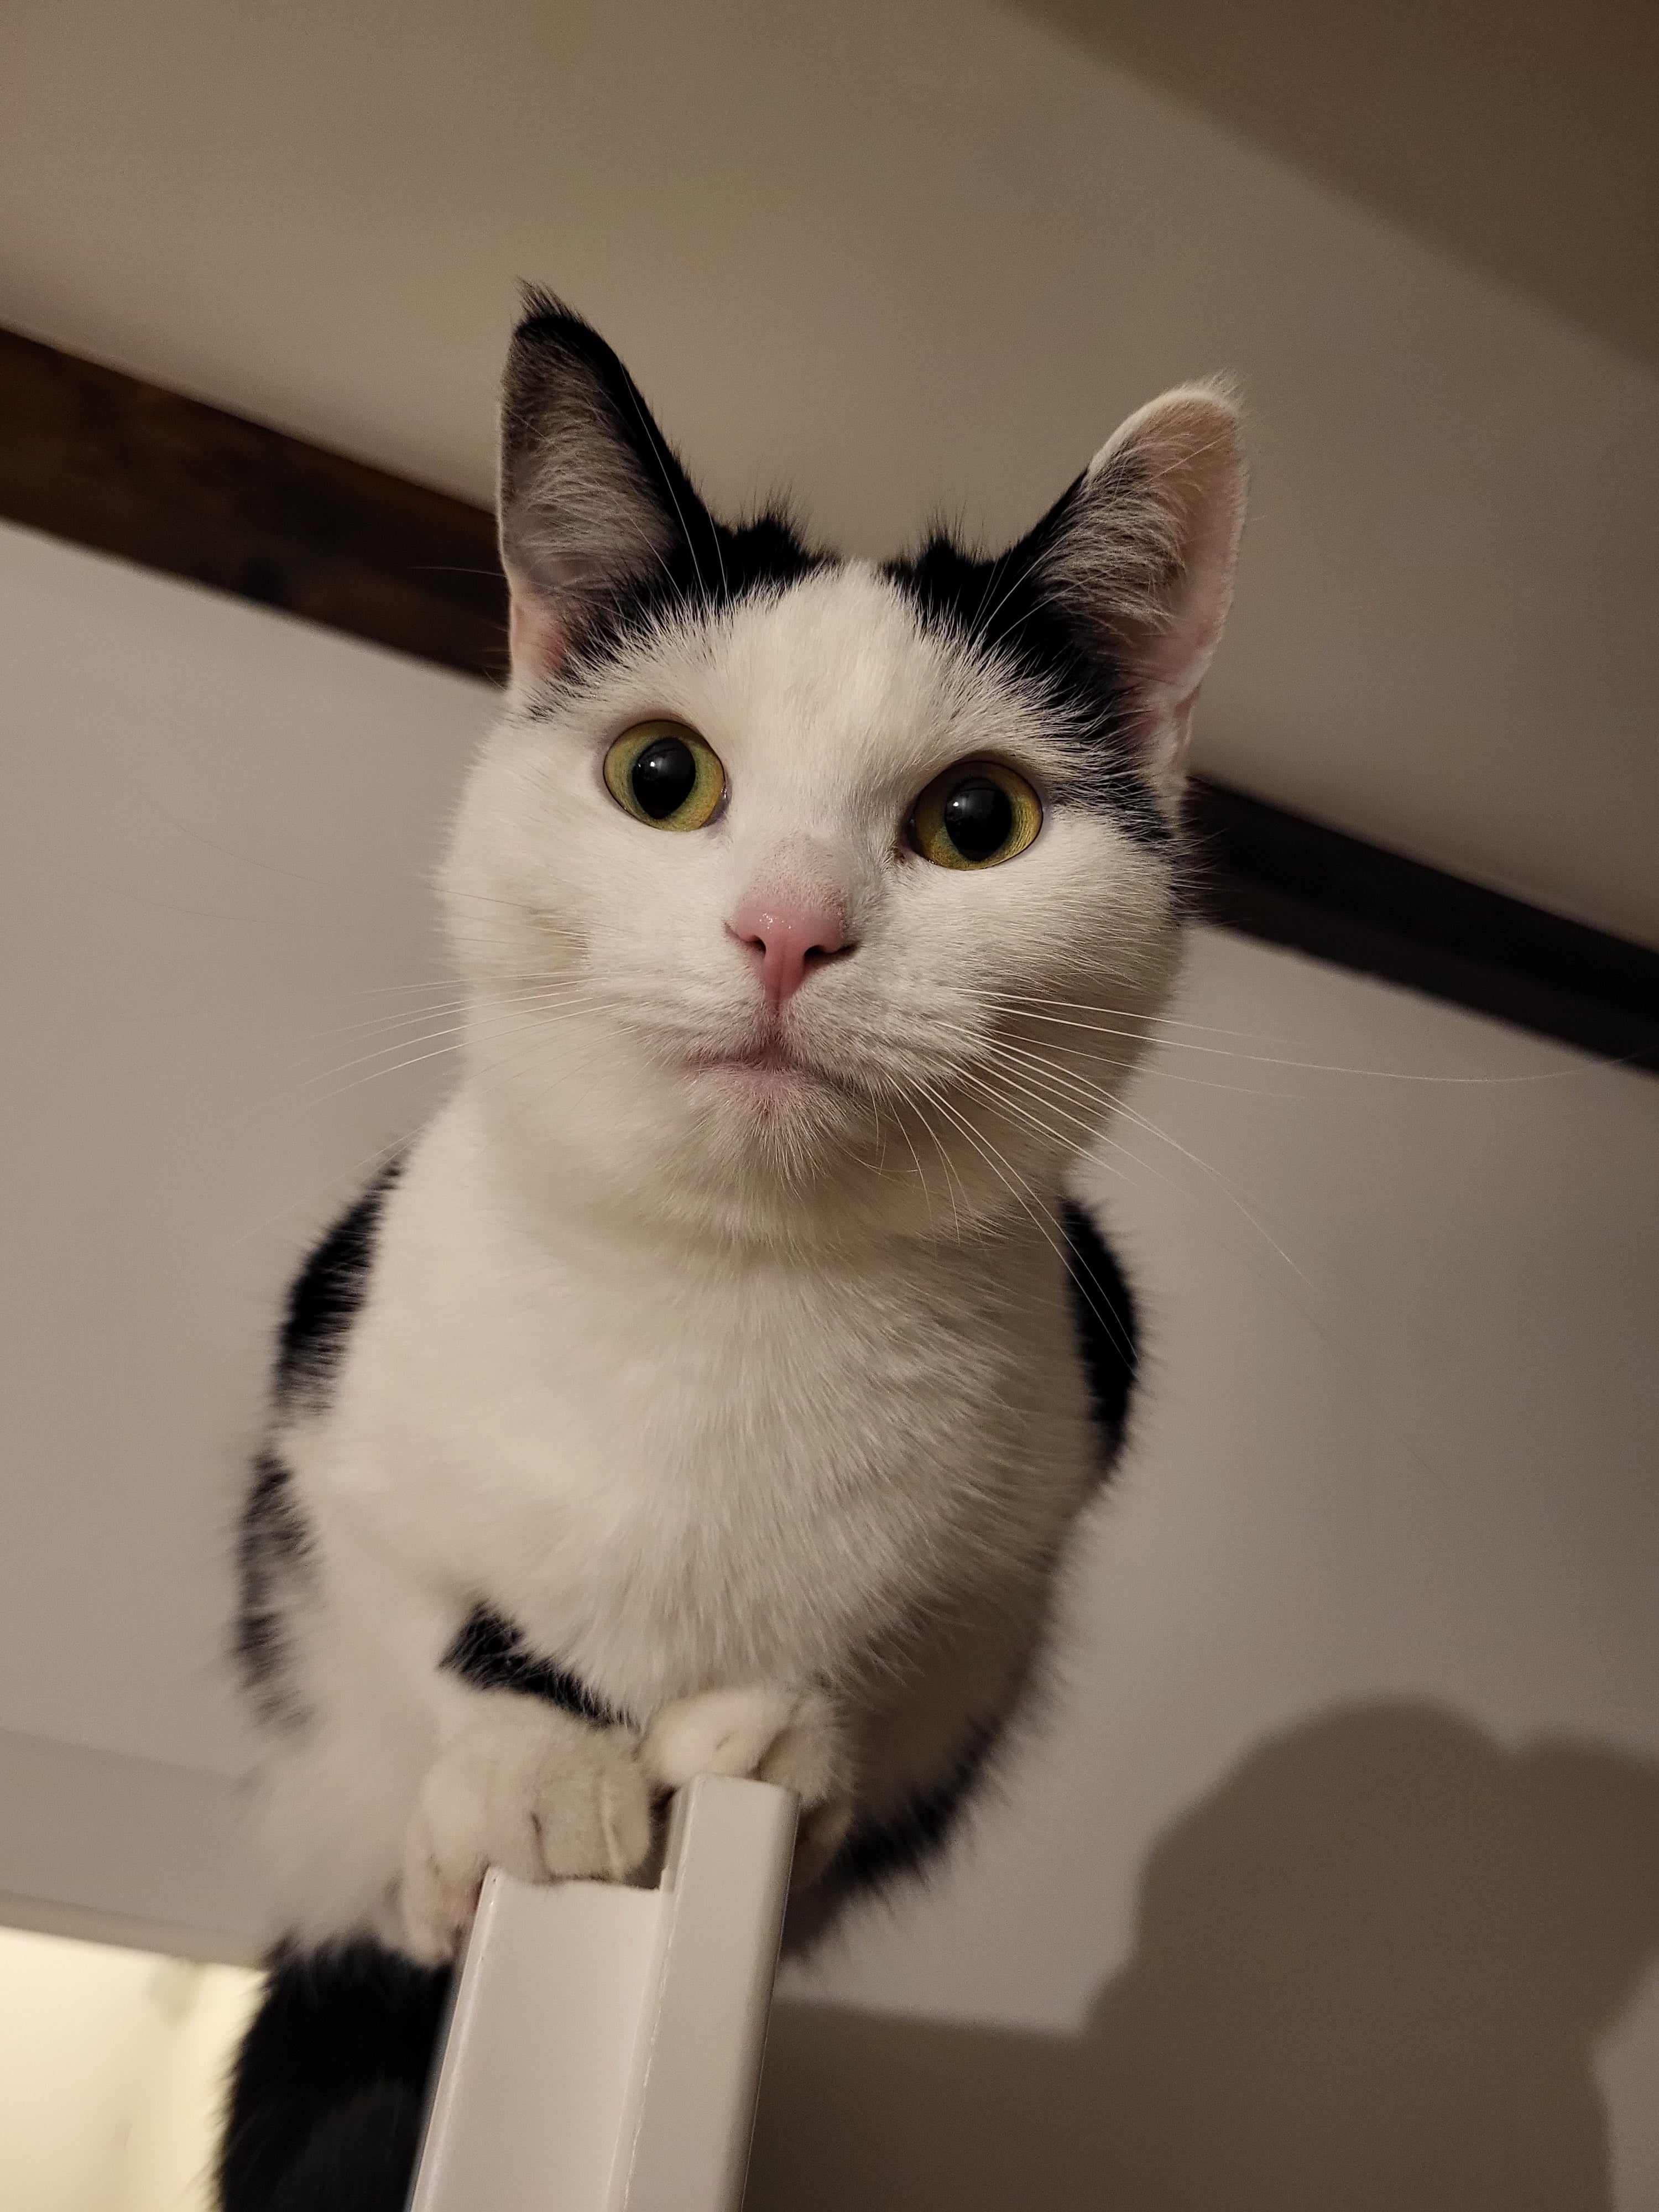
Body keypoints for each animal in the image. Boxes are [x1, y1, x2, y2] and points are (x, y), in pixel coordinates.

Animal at [218, 293, 1244, 2211]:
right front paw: (532, 1768)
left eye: (978, 822)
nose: (788, 930)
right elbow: (415, 1597)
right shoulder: (330, 1395)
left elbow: (892, 1652)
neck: (740, 1287)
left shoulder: (1042, 1491)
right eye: (660, 777)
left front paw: (773, 1727)